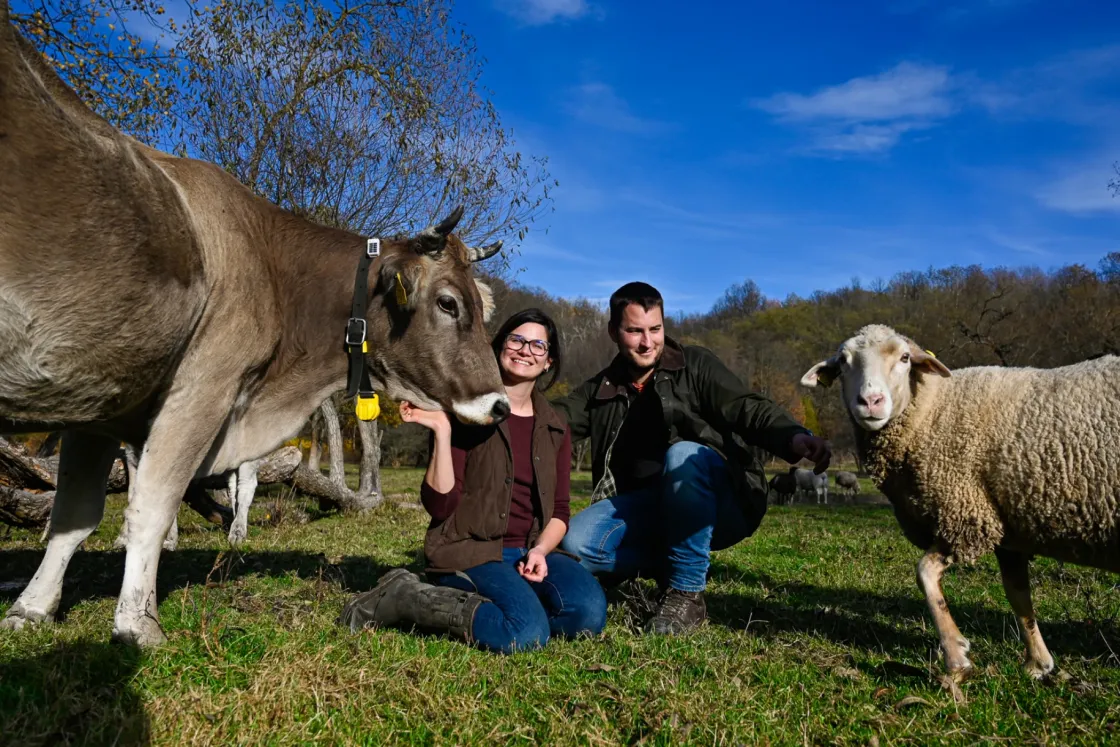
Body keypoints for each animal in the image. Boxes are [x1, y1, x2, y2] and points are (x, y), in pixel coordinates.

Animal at [0, 7, 508, 645]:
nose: (499, 405)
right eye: (447, 304)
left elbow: (73, 517)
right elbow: (149, 506)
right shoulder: (201, 390)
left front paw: (32, 608)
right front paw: (138, 626)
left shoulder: (101, 405)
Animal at [806, 324, 1120, 680]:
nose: (870, 401)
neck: (931, 410)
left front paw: (956, 657)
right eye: (843, 363)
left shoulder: (965, 516)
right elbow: (1018, 596)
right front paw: (1038, 663)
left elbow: (925, 574)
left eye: (904, 358)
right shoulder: (1004, 528)